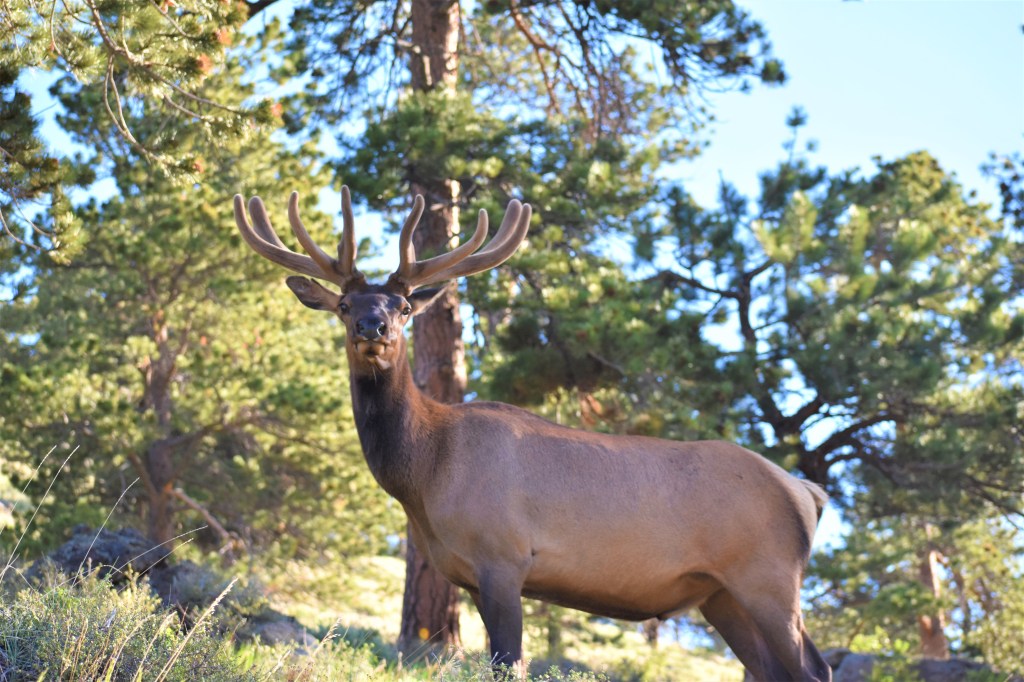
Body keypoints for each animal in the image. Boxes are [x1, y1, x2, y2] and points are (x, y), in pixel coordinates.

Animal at [232, 187, 833, 682]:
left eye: (403, 306)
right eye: (343, 304)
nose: (371, 327)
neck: (426, 473)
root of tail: (808, 493)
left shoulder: (504, 556)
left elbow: (508, 664)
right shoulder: (471, 576)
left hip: (769, 578)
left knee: (814, 668)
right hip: (721, 595)